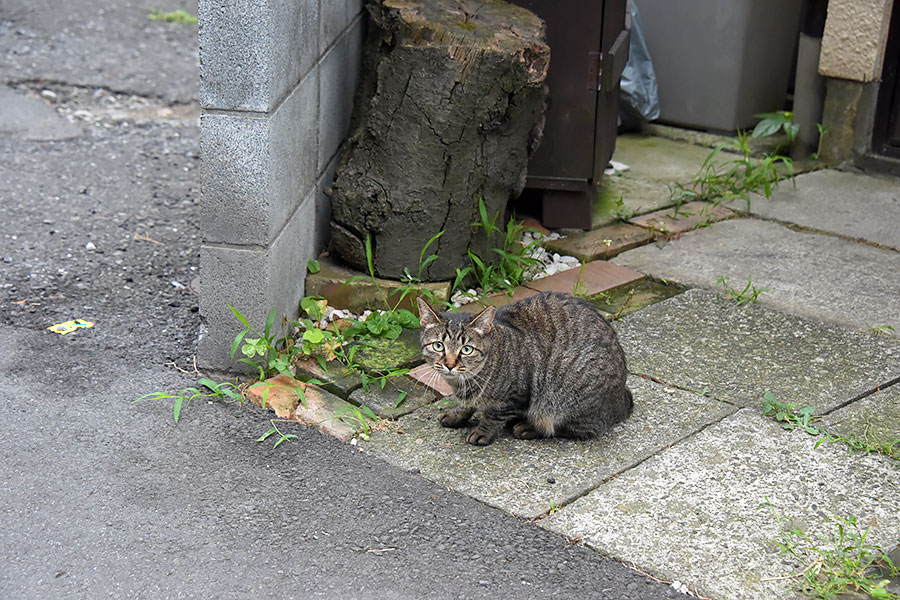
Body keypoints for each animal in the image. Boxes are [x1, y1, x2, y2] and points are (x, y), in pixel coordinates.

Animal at [416, 292, 632, 446]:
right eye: (438, 346)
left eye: (467, 349)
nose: (450, 364)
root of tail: (622, 398)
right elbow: (467, 405)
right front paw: (456, 415)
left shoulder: (515, 395)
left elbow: (493, 416)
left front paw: (482, 431)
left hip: (565, 394)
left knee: (573, 428)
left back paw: (529, 428)